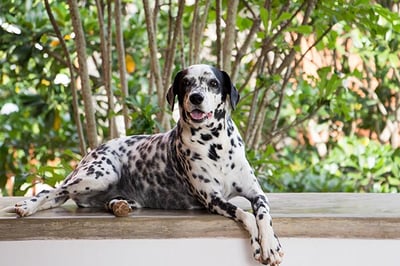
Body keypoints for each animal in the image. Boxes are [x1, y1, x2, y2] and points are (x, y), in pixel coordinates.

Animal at [5, 65, 284, 266]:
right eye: (186, 83)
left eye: (213, 83)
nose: (196, 97)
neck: (216, 145)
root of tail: (93, 151)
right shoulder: (213, 199)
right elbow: (246, 215)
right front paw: (261, 245)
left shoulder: (256, 193)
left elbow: (262, 214)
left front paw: (270, 244)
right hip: (99, 175)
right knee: (52, 190)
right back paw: (26, 207)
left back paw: (118, 204)